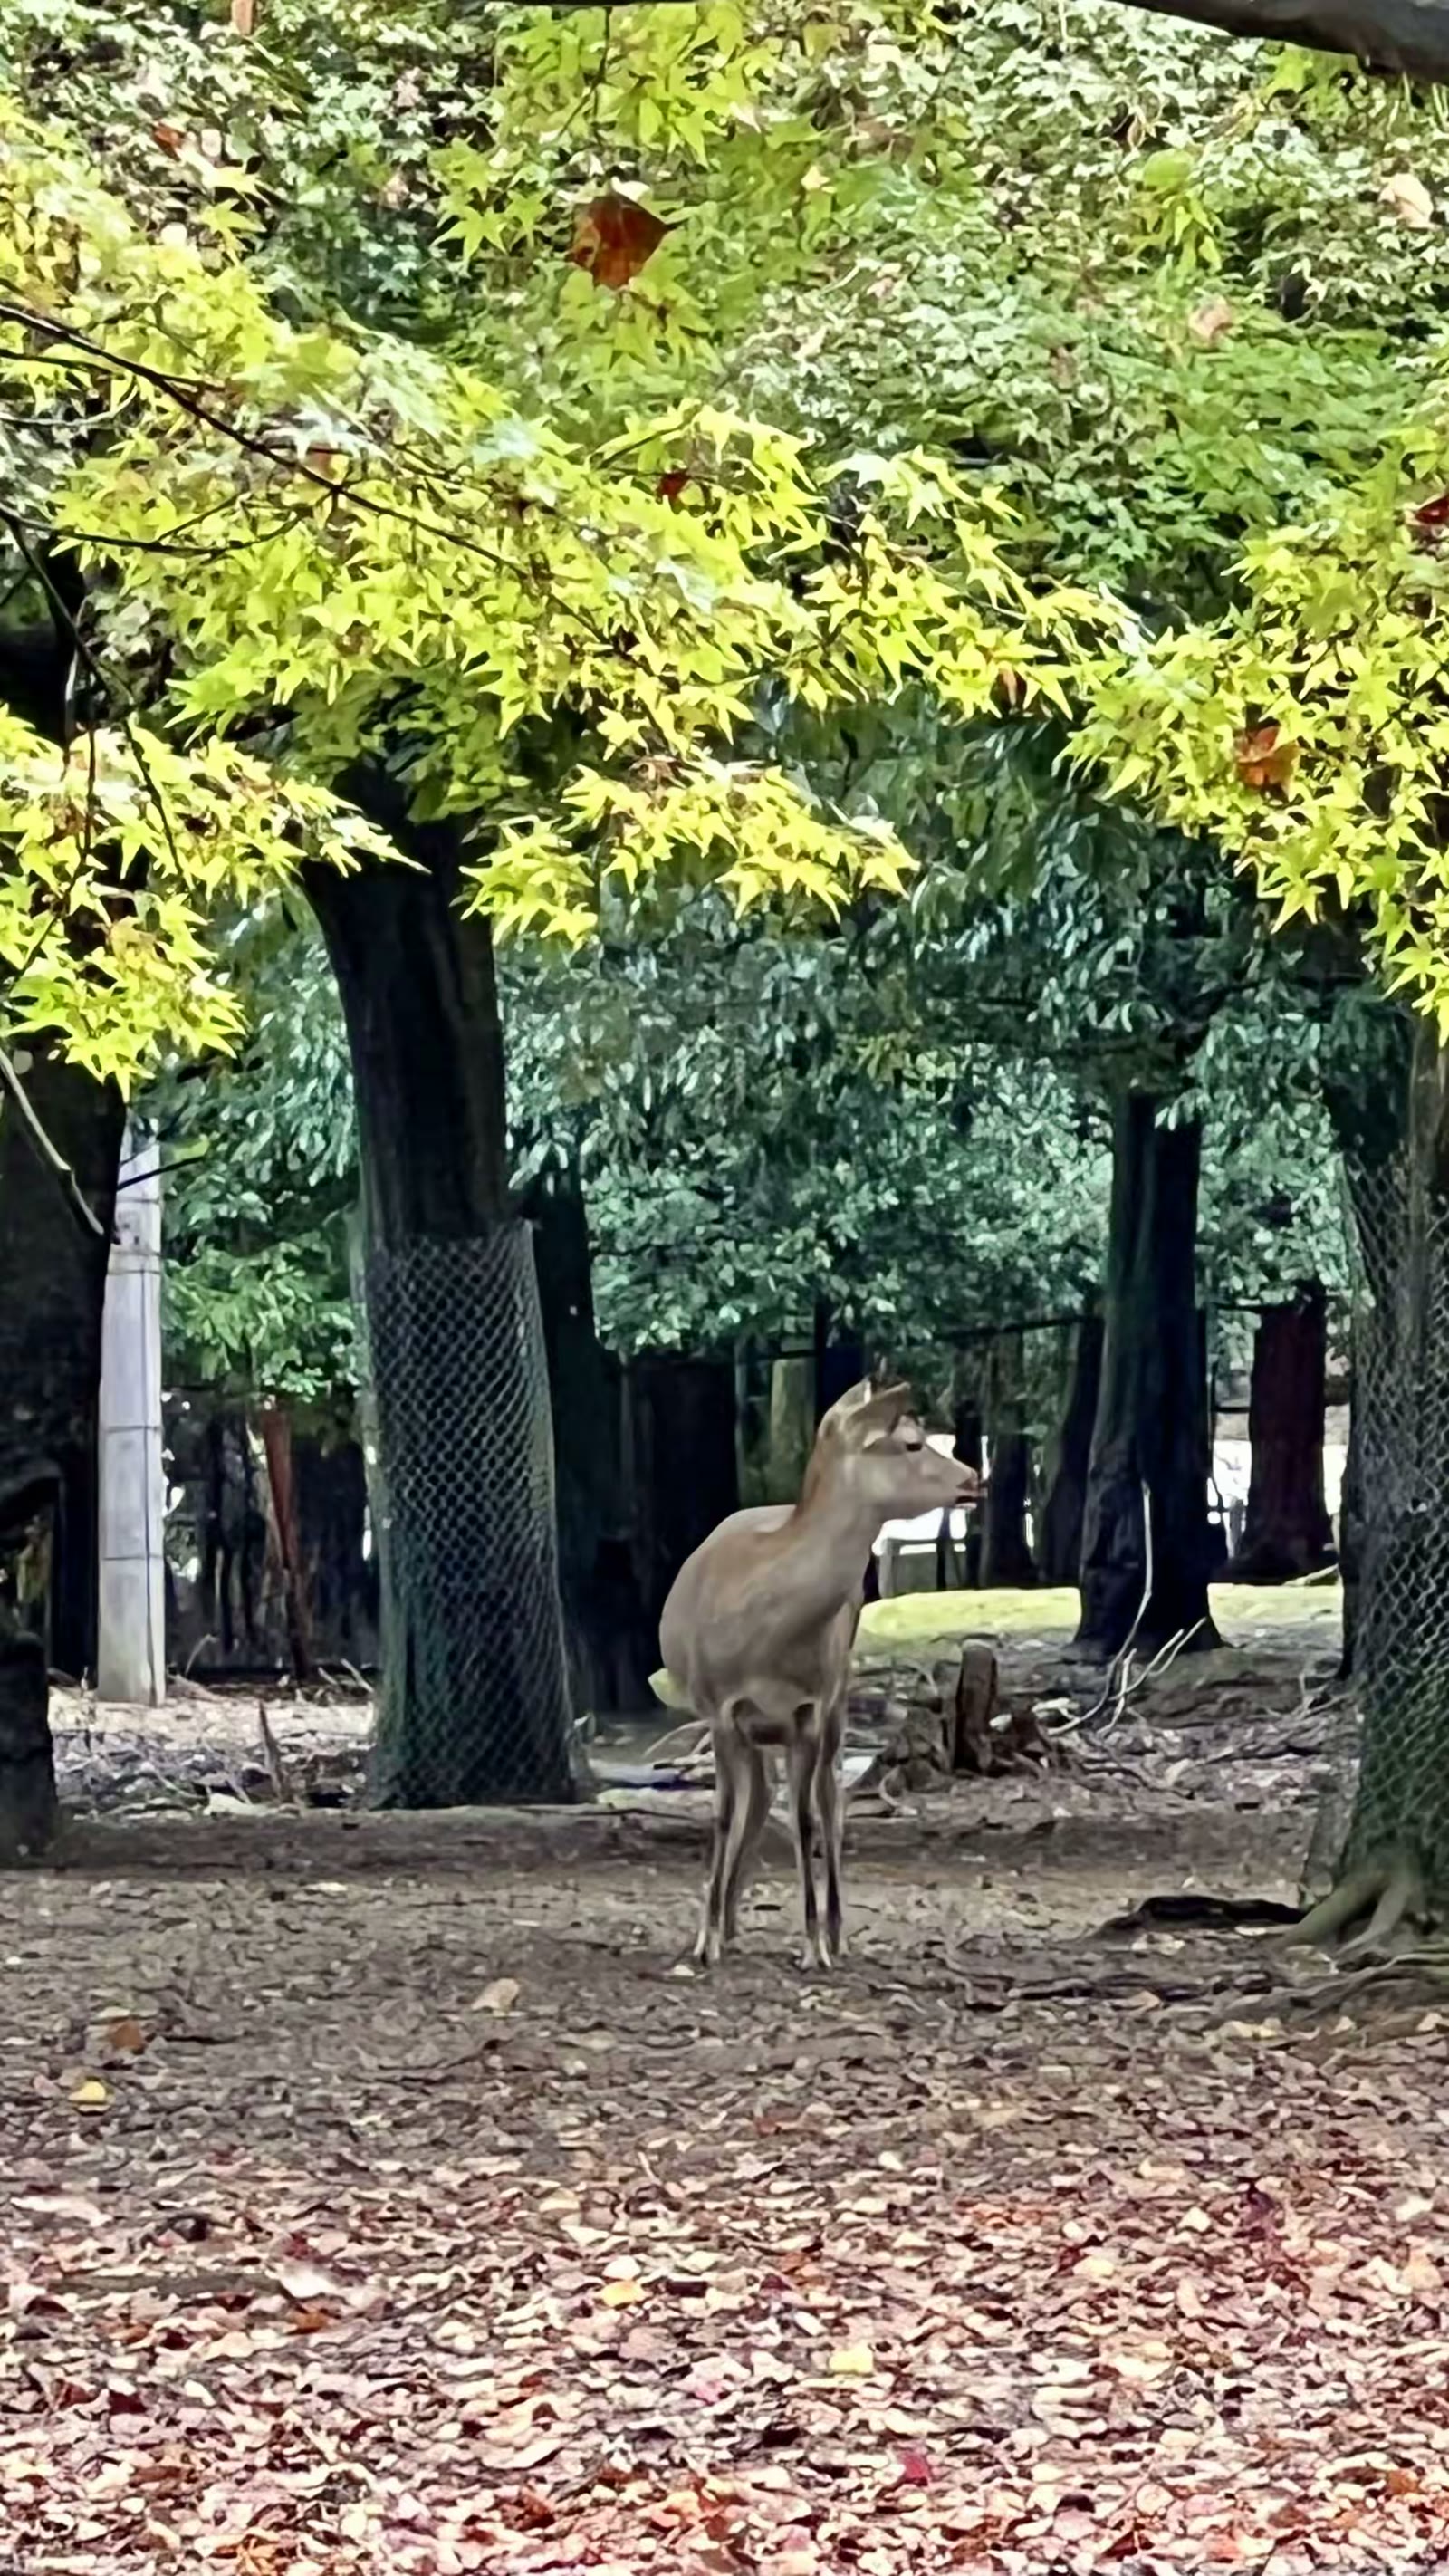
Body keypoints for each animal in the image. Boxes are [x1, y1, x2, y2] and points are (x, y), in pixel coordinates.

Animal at [656, 1378, 981, 1971]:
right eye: (912, 1443)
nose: (973, 1478)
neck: (764, 1640)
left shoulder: (808, 1707)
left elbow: (806, 1818)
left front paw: (814, 1946)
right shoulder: (720, 1706)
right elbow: (722, 1815)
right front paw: (705, 1940)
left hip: (838, 1696)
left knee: (830, 1802)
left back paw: (834, 1931)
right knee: (760, 1796)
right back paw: (730, 1922)